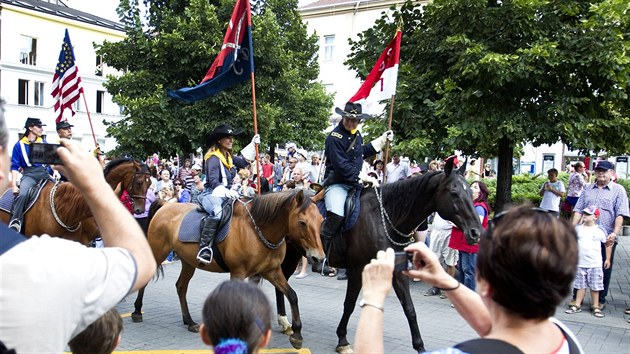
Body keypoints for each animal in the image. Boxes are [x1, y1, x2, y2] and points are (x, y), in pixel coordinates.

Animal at [131, 189, 324, 350]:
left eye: (321, 220)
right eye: (302, 222)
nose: (318, 258)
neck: (257, 230)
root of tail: (166, 205)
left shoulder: (272, 272)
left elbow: (292, 295)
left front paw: (297, 333)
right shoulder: (238, 272)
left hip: (188, 262)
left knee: (181, 287)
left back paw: (189, 321)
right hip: (158, 252)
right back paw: (137, 311)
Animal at [276, 158, 484, 354]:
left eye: (470, 193)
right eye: (454, 193)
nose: (476, 233)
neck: (384, 218)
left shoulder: (396, 270)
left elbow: (409, 308)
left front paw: (420, 347)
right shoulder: (357, 269)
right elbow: (349, 304)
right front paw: (342, 340)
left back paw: (285, 322)